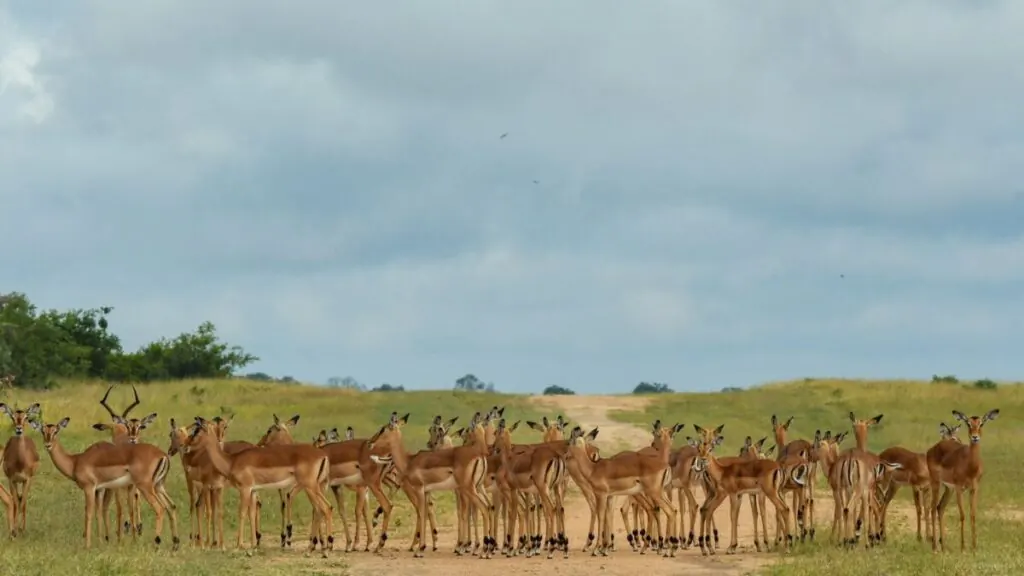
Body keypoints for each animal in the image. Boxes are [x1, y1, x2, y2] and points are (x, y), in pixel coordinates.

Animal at [0, 402, 40, 537]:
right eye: (12, 417)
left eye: (26, 417)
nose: (18, 429)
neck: (20, 463)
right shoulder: (12, 480)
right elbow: (16, 502)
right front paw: (15, 530)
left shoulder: (27, 479)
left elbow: (22, 503)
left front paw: (21, 529)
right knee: (15, 499)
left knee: (22, 500)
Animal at [32, 417, 180, 549]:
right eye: (43, 431)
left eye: (56, 431)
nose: (48, 445)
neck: (75, 461)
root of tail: (163, 455)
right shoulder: (100, 489)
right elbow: (99, 513)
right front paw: (101, 542)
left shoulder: (89, 488)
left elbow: (89, 513)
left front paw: (87, 546)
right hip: (158, 486)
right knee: (170, 506)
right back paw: (175, 544)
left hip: (145, 487)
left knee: (160, 508)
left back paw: (156, 543)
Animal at [189, 416, 334, 557]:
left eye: (198, 430)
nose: (188, 446)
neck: (231, 461)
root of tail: (323, 455)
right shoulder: (254, 490)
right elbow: (252, 514)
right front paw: (252, 548)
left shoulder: (245, 489)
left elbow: (242, 513)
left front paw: (238, 548)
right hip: (315, 487)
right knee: (324, 508)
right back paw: (316, 549)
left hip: (310, 487)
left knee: (324, 508)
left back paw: (324, 550)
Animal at [928, 409, 998, 553]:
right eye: (968, 423)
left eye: (981, 423)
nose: (975, 437)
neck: (970, 467)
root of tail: (932, 449)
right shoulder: (959, 489)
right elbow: (962, 515)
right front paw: (963, 547)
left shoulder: (974, 489)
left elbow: (972, 515)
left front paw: (974, 546)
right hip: (936, 483)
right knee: (932, 508)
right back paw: (935, 547)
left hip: (948, 489)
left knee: (940, 507)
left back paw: (944, 547)